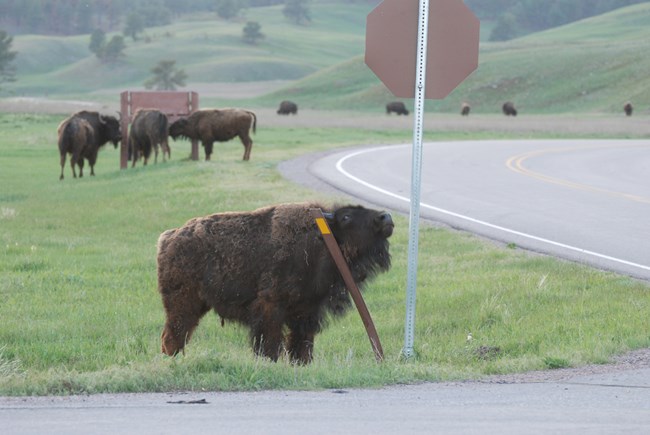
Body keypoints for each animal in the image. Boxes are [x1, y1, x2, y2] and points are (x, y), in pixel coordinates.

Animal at [154, 204, 392, 364]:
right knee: (173, 335)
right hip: (183, 304)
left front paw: (301, 363)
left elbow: (301, 344)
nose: (385, 217)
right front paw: (269, 362)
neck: (321, 238)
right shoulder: (271, 308)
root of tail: (168, 237)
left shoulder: (307, 312)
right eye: (346, 216)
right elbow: (269, 343)